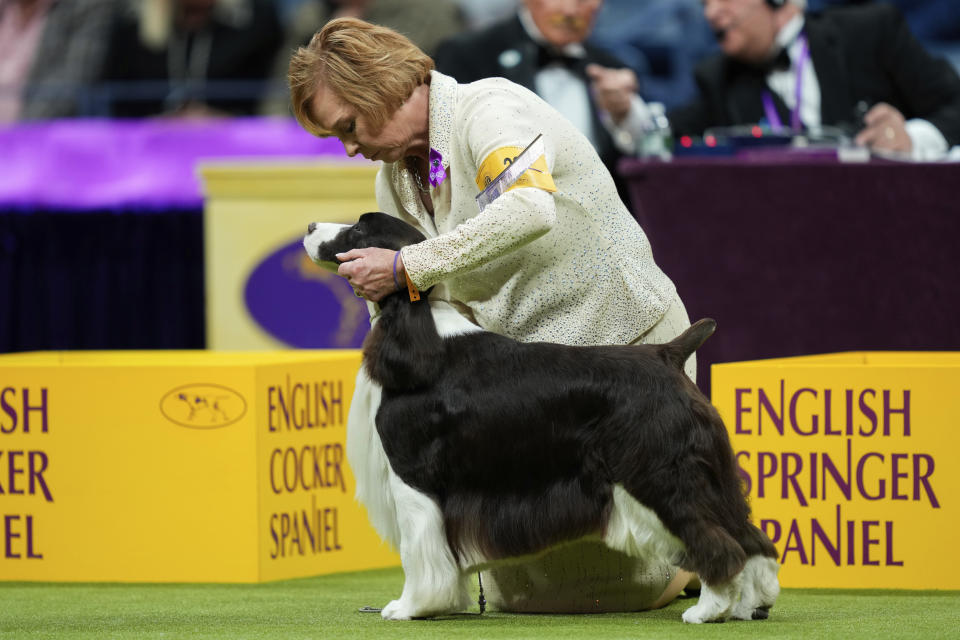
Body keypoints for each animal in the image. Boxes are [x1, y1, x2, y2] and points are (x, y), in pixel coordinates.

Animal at [306, 212, 780, 624]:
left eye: (359, 228)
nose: (310, 227)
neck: (415, 325)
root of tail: (668, 354)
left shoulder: (413, 476)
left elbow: (420, 551)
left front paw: (410, 607)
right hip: (705, 473)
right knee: (749, 537)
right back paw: (750, 605)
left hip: (658, 473)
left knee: (717, 541)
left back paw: (707, 610)